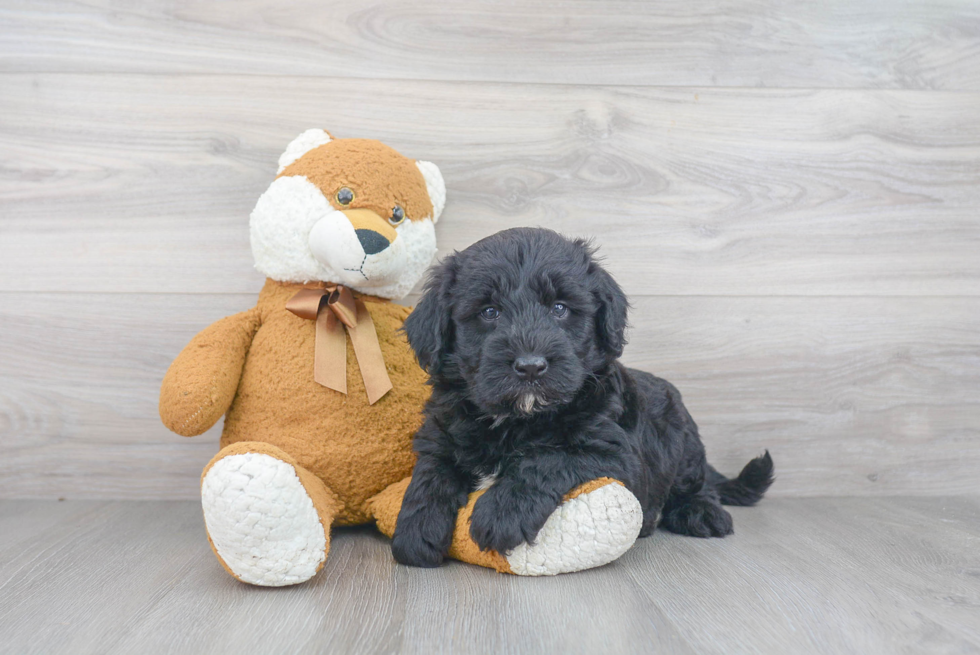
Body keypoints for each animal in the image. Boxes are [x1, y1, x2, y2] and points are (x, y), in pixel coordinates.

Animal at [390, 228, 772, 568]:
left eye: (559, 308)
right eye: (489, 312)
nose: (530, 366)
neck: (517, 418)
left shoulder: (616, 454)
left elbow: (546, 459)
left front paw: (501, 512)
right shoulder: (440, 433)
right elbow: (431, 473)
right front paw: (416, 530)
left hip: (683, 440)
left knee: (698, 482)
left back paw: (702, 512)